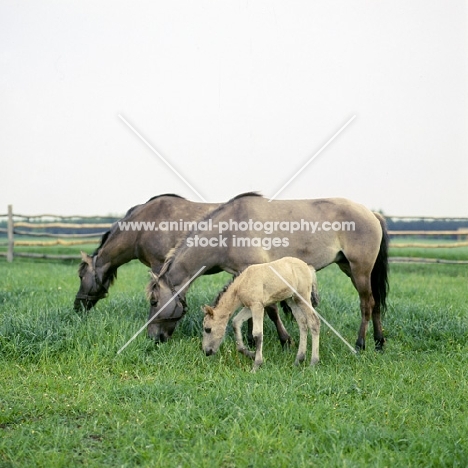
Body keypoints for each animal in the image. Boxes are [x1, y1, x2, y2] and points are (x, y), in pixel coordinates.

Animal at [146, 192, 388, 350]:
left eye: (154, 302)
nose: (152, 337)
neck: (229, 230)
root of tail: (372, 214)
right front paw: (251, 339)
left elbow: (271, 310)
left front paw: (285, 340)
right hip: (351, 269)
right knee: (375, 302)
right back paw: (379, 341)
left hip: (360, 270)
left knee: (367, 304)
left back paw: (361, 343)